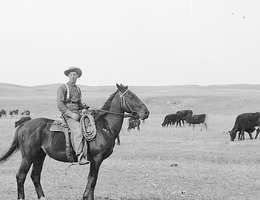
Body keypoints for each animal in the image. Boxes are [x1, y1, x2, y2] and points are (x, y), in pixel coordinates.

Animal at [0, 83, 149, 200]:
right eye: (131, 97)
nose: (146, 112)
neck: (104, 127)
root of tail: (24, 125)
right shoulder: (97, 159)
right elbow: (92, 180)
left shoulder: (96, 160)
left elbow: (92, 181)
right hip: (28, 156)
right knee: (21, 176)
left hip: (39, 156)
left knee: (35, 176)